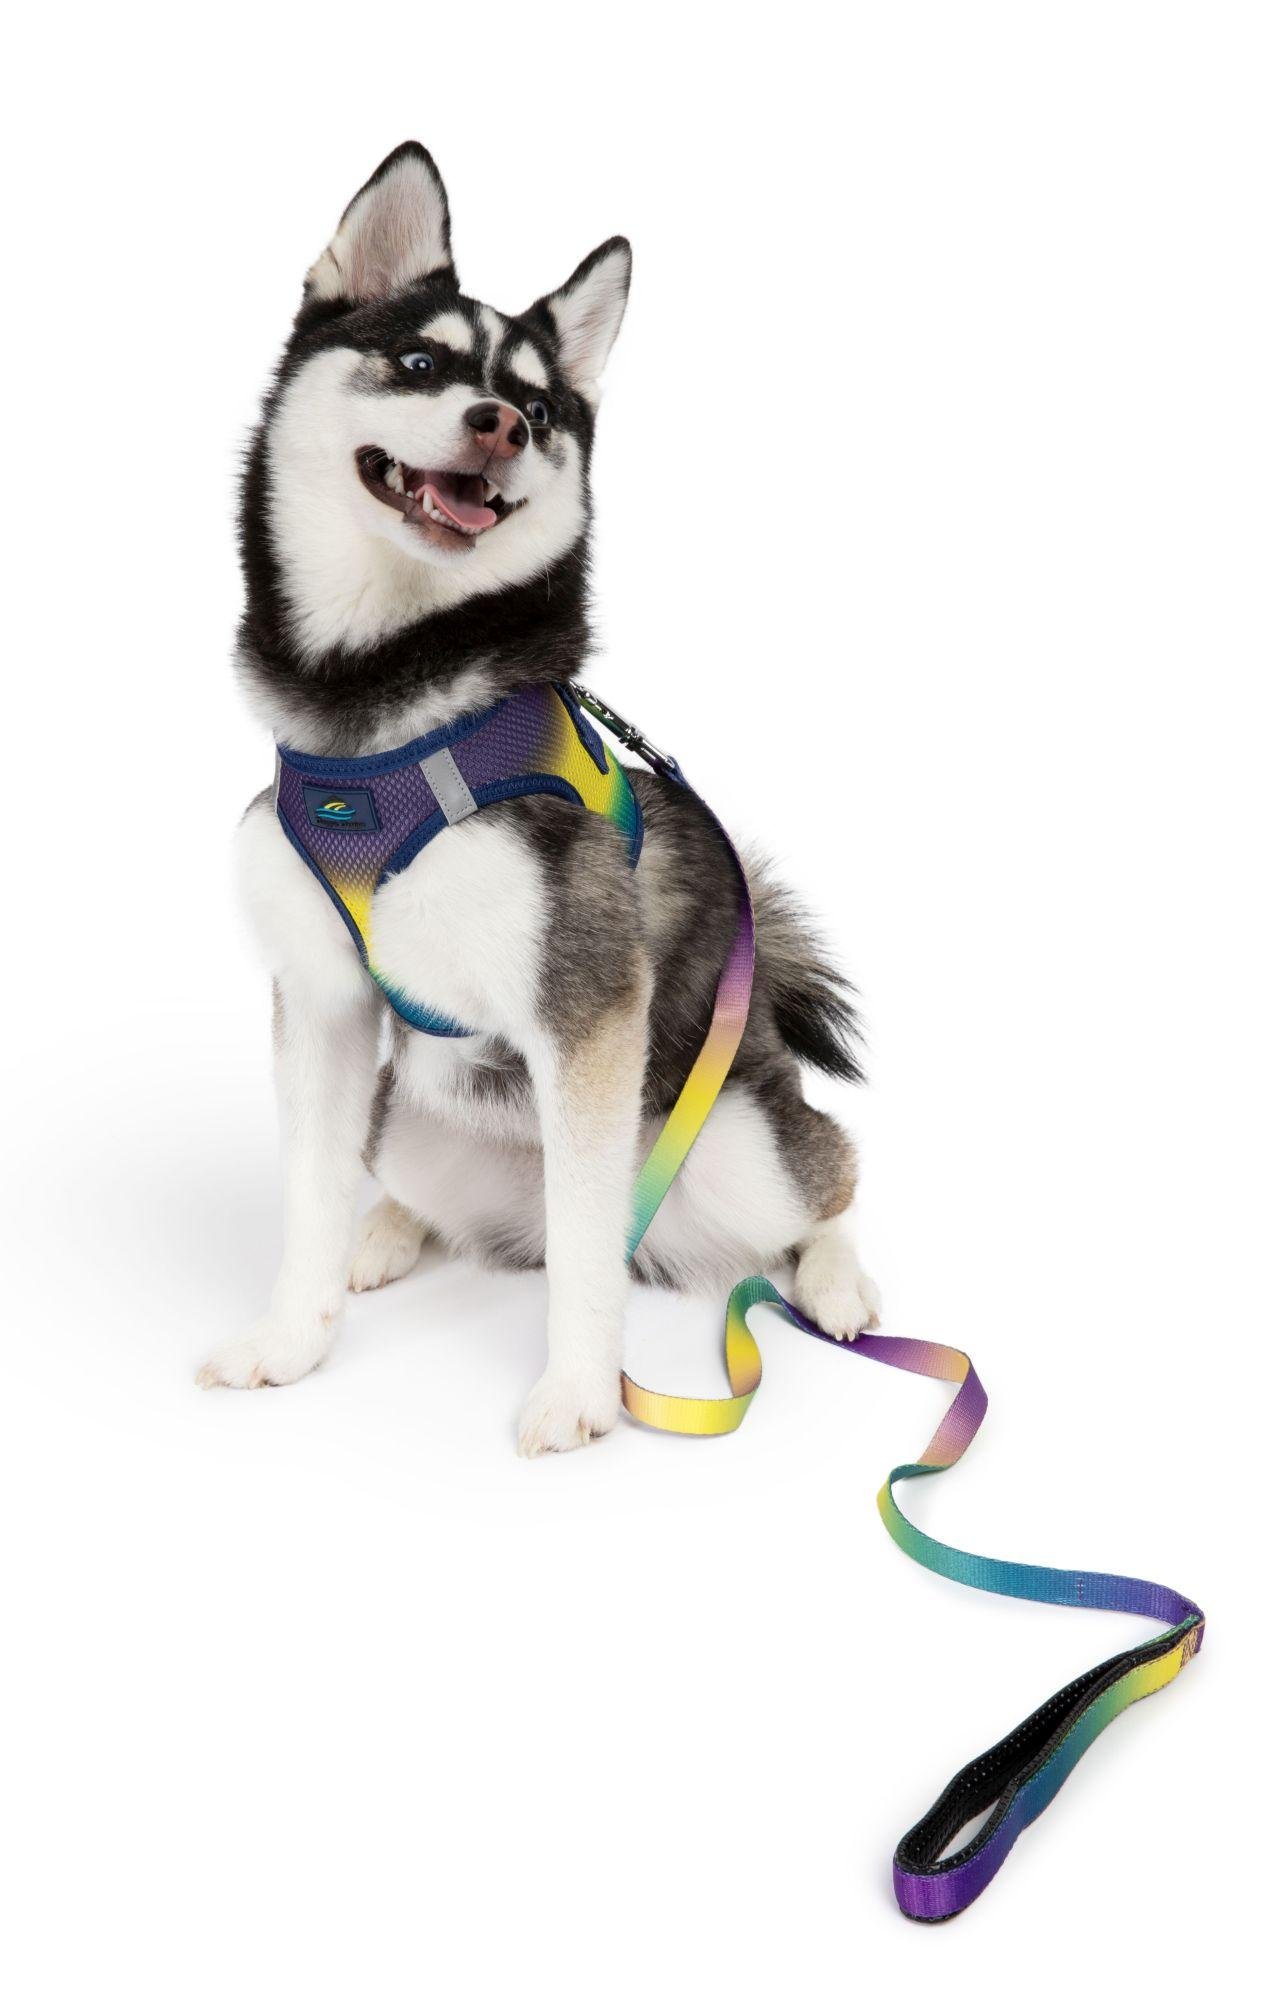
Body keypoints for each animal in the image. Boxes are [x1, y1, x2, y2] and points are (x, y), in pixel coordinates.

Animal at [202, 141, 880, 1453]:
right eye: (420, 363)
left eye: (545, 407)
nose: (502, 422)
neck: (383, 708)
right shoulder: (319, 1003)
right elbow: (307, 1194)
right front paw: (291, 1335)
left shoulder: (588, 1009)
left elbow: (584, 1253)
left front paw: (575, 1390)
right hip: (410, 1114)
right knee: (435, 1194)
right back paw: (386, 1231)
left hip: (736, 1135)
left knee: (820, 1178)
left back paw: (837, 1279)